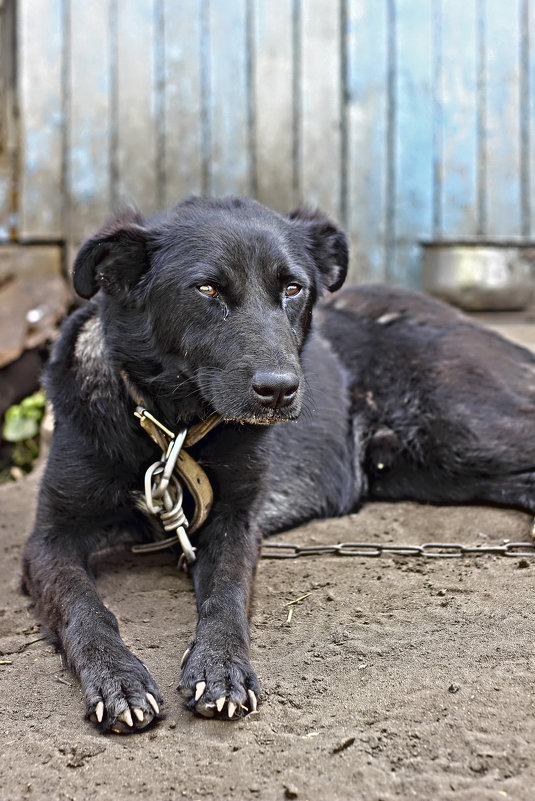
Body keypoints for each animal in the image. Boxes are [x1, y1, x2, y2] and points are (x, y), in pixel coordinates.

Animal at [23, 195, 535, 732]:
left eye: (293, 288)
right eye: (207, 289)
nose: (280, 390)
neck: (171, 426)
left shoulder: (236, 523)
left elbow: (226, 593)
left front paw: (221, 666)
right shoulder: (50, 539)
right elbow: (84, 605)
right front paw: (117, 678)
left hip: (460, 428)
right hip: (431, 467)